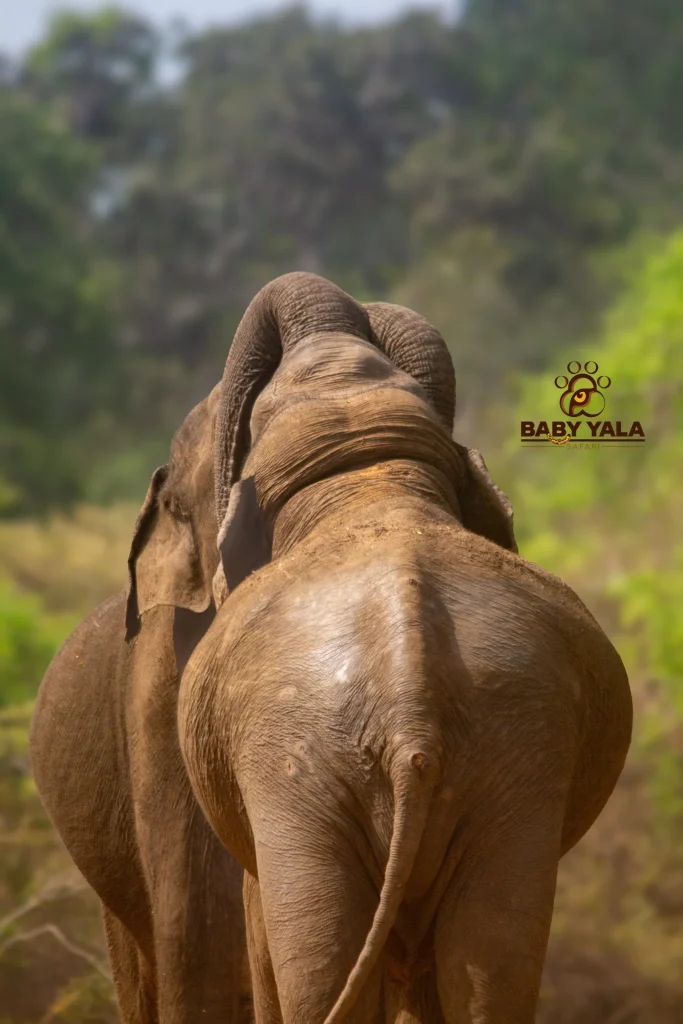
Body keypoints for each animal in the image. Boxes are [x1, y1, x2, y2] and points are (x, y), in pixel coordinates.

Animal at [174, 272, 633, 1024]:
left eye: (260, 412)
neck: (368, 473)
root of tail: (409, 714)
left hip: (299, 779)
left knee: (318, 965)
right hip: (513, 772)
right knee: (491, 961)